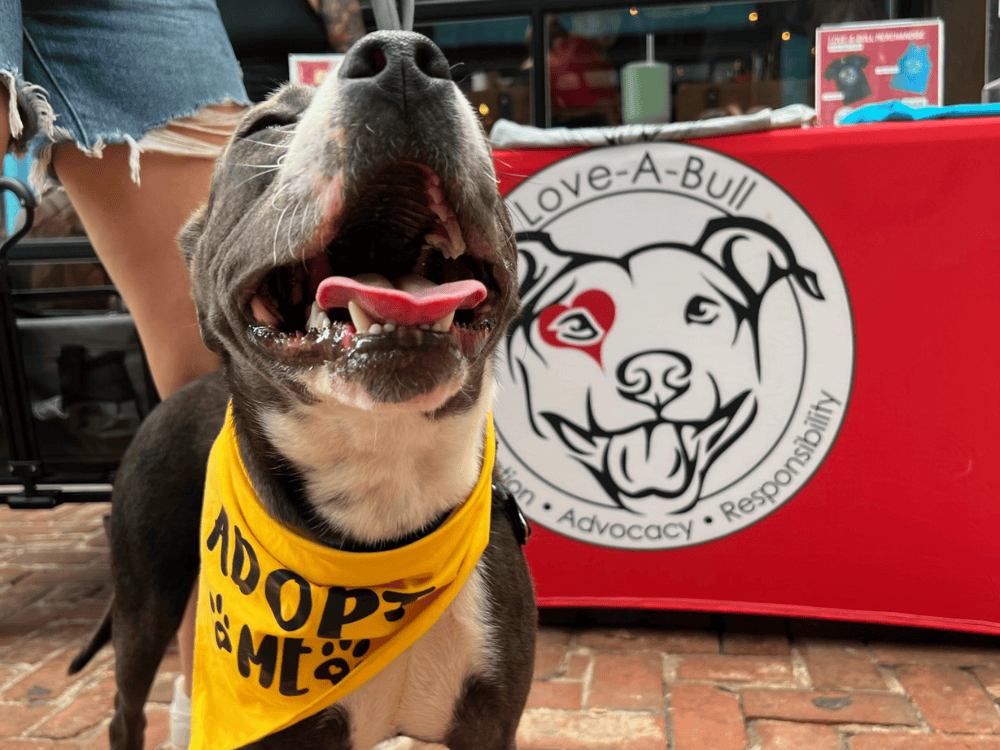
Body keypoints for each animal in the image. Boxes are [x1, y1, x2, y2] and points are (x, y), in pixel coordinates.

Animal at [69, 30, 536, 750]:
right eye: (264, 127)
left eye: (482, 127)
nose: (404, 62)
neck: (380, 474)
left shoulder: (488, 723)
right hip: (144, 591)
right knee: (126, 707)